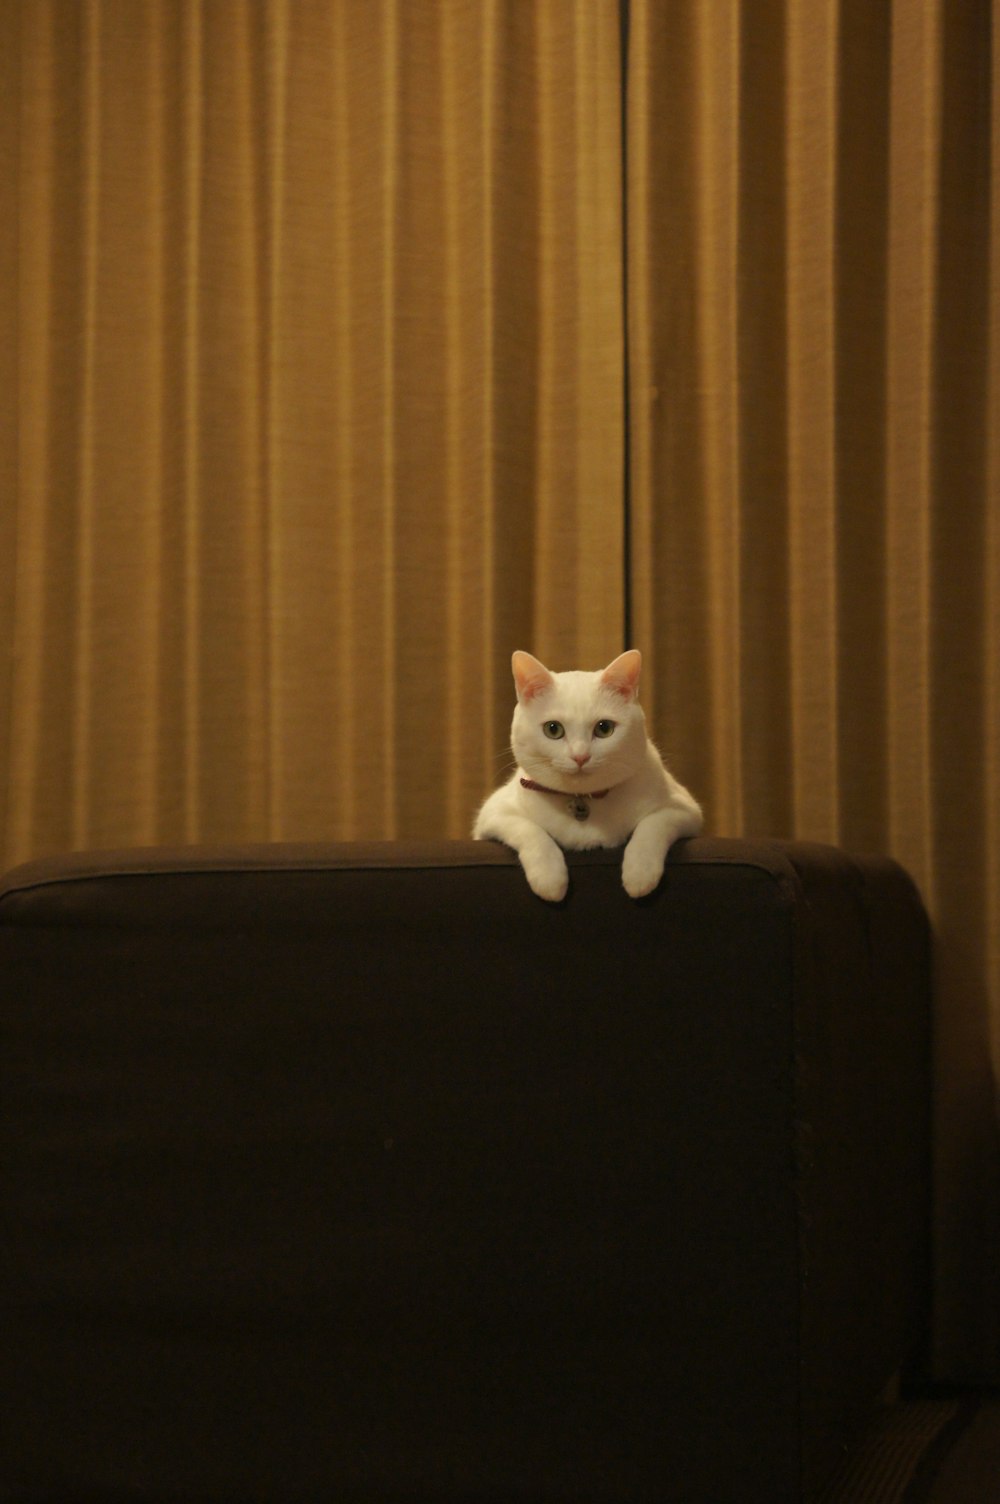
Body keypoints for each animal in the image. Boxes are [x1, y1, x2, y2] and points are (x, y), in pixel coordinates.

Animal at [475, 649, 700, 902]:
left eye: (604, 728)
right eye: (553, 729)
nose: (580, 756)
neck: (584, 799)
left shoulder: (684, 808)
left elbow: (652, 827)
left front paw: (640, 873)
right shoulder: (493, 814)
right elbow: (530, 831)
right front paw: (550, 878)